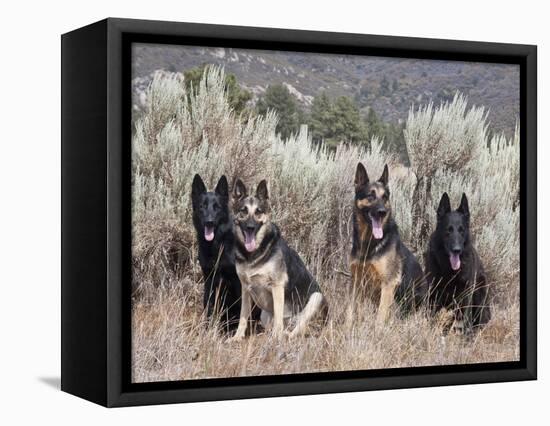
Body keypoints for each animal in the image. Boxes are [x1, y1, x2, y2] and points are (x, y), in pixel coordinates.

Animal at [192, 173, 242, 330]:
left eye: (217, 207)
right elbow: (208, 306)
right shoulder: (209, 279)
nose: (209, 222)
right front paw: (207, 329)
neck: (217, 245)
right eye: (202, 206)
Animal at [430, 193, 494, 332]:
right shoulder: (434, 290)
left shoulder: (466, 293)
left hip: (480, 293)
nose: (457, 250)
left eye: (461, 230)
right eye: (448, 230)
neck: (450, 270)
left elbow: (465, 318)